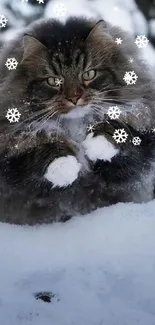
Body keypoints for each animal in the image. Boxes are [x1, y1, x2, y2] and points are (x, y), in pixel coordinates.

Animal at [0, 17, 155, 224]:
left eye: (89, 74)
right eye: (53, 81)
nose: (74, 98)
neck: (75, 126)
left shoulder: (137, 147)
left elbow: (119, 129)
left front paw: (98, 144)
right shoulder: (14, 151)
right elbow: (41, 146)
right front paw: (66, 167)